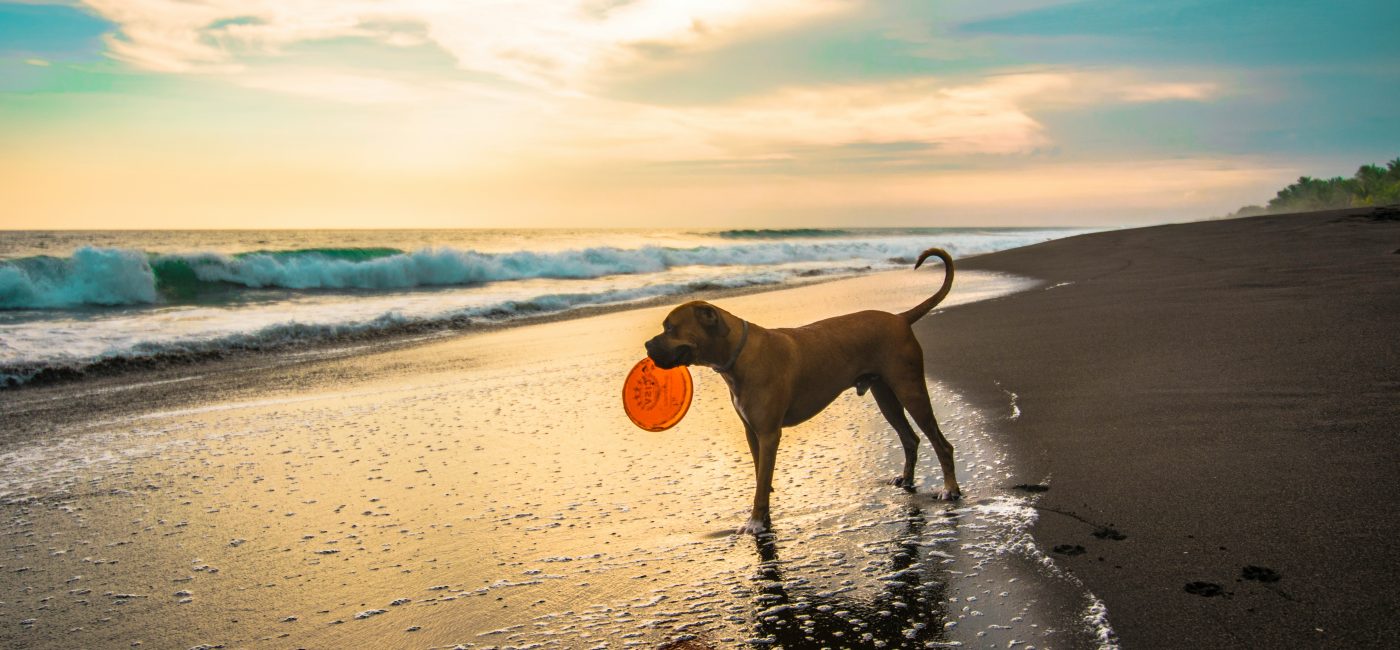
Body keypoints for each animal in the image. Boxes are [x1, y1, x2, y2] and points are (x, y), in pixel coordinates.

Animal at [646, 247, 963, 532]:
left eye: (670, 328)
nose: (647, 345)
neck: (738, 353)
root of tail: (900, 318)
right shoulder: (752, 433)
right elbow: (761, 476)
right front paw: (764, 514)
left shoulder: (769, 434)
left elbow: (762, 481)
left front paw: (756, 521)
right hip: (886, 396)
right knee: (910, 438)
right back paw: (907, 479)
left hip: (910, 390)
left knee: (941, 443)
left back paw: (950, 489)